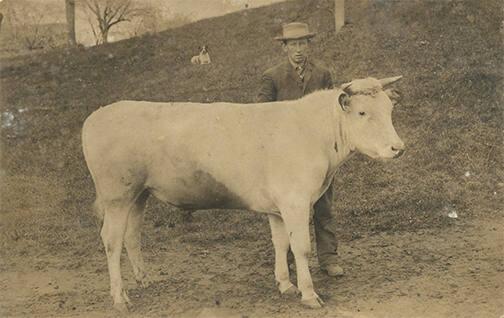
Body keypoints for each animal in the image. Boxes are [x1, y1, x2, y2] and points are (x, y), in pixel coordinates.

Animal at [82, 76, 406, 310]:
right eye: (362, 112)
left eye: (389, 110)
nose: (398, 148)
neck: (314, 133)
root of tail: (97, 115)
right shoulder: (295, 201)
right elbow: (300, 247)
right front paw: (309, 294)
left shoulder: (278, 206)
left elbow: (281, 244)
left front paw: (285, 285)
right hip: (117, 195)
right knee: (111, 240)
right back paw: (120, 298)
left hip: (139, 194)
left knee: (131, 236)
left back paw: (143, 280)